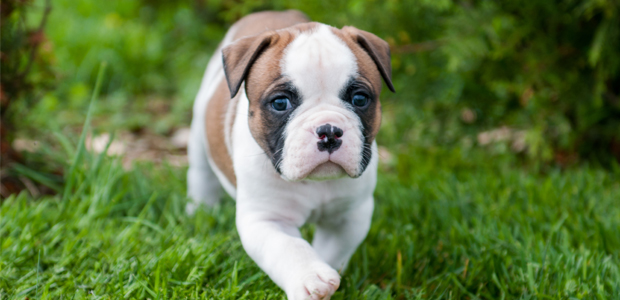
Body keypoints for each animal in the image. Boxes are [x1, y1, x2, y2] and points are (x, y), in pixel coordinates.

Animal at [186, 9, 394, 300]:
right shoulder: (267, 219)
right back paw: (200, 209)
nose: (329, 131)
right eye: (280, 103)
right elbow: (288, 248)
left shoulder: (349, 217)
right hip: (199, 128)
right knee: (201, 172)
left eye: (360, 99)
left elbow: (331, 251)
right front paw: (311, 278)